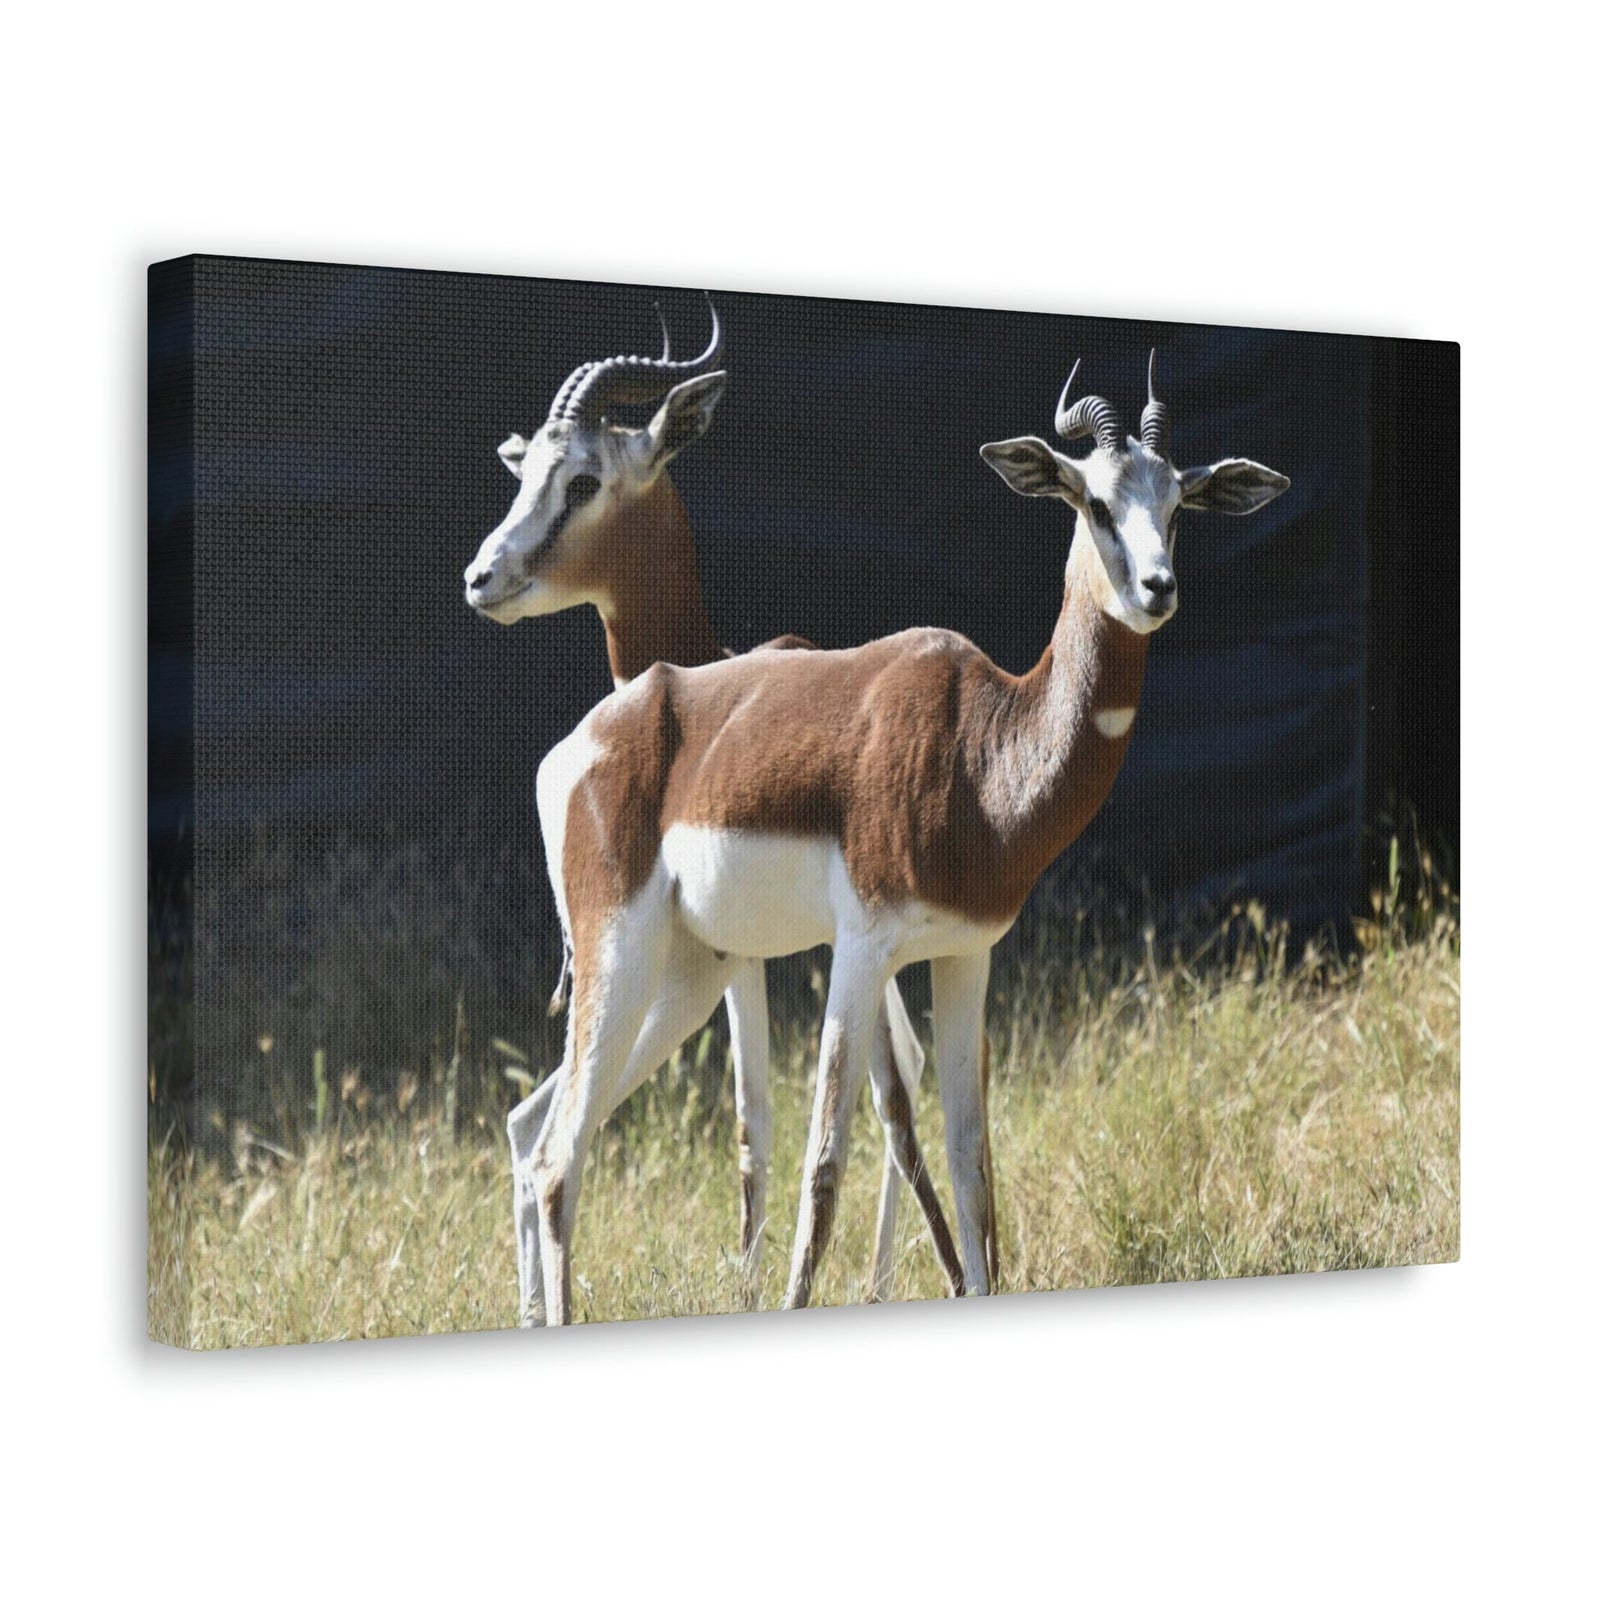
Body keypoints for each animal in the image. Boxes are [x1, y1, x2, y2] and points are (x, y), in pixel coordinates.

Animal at [462, 301, 962, 1326]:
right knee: (541, 1125)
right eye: (524, 470)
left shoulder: (766, 959)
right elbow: (753, 1121)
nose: (482, 578)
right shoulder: (747, 960)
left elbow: (765, 1119)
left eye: (583, 479)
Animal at [520, 354, 1289, 1322]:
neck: (984, 746)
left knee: (551, 1136)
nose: (1159, 590)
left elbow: (971, 1162)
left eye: (1180, 504)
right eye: (1095, 502)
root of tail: (585, 740)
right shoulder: (861, 948)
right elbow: (825, 1162)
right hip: (619, 954)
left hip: (691, 972)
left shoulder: (966, 954)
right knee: (558, 1154)